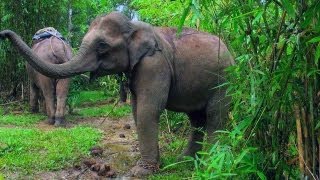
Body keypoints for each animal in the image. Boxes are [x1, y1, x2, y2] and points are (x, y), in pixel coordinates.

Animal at [0, 11, 235, 177]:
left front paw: (142, 172)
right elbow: (137, 110)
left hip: (224, 81)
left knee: (215, 116)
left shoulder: (154, 65)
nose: (3, 33)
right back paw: (185, 160)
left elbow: (148, 110)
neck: (134, 26)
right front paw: (152, 166)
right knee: (197, 119)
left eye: (102, 45)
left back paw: (210, 163)